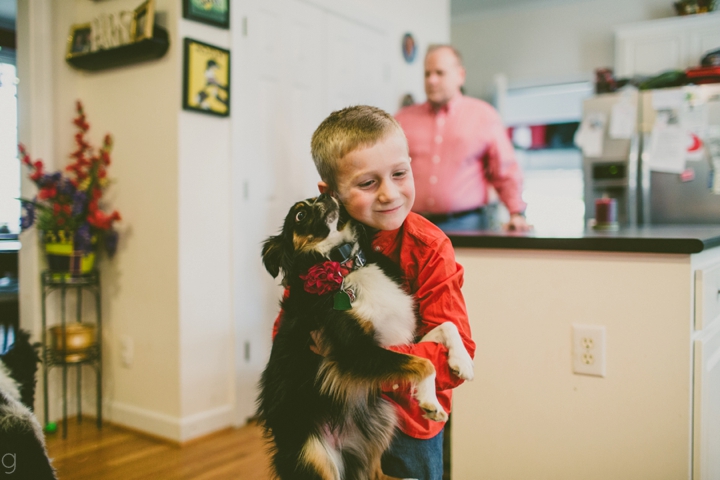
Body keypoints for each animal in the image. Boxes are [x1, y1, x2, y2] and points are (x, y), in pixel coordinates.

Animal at [258, 195, 472, 480]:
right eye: (300, 215)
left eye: (314, 200)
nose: (325, 196)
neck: (345, 265)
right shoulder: (355, 352)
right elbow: (425, 364)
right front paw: (430, 402)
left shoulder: (397, 338)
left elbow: (446, 327)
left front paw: (463, 363)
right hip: (314, 455)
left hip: (383, 421)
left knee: (374, 473)